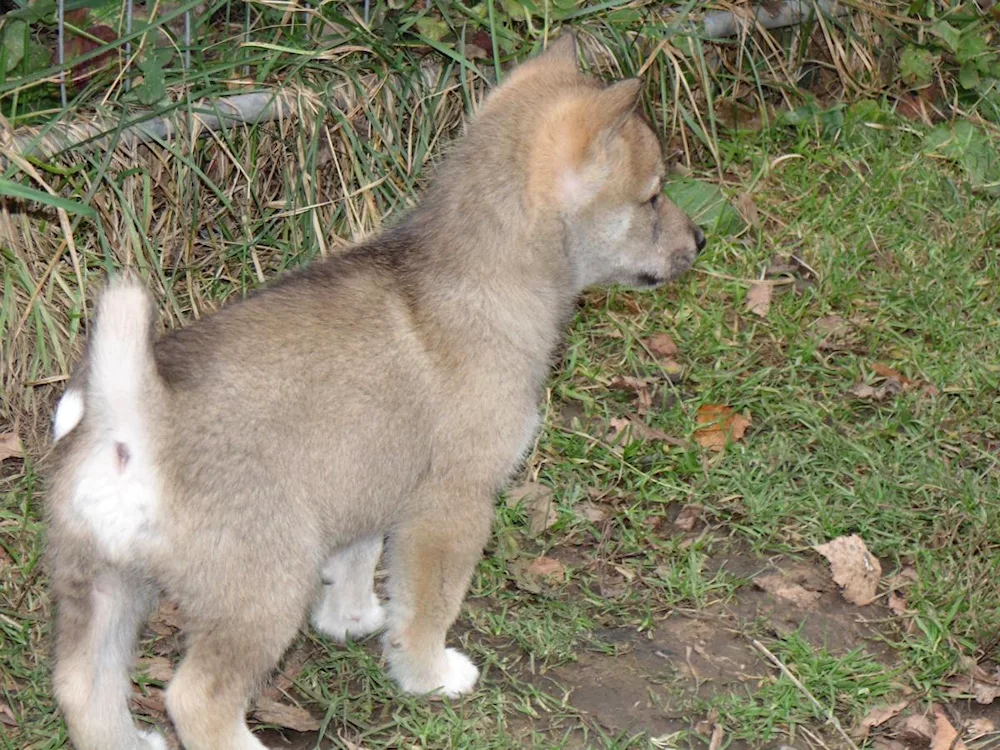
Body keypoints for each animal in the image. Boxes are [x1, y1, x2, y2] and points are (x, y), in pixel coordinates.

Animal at [45, 33, 704, 750]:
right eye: (653, 196)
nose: (700, 239)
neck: (480, 272)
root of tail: (135, 415)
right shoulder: (453, 504)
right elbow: (430, 606)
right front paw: (426, 674)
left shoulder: (366, 483)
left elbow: (359, 560)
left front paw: (354, 618)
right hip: (261, 591)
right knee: (197, 697)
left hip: (109, 590)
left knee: (83, 688)